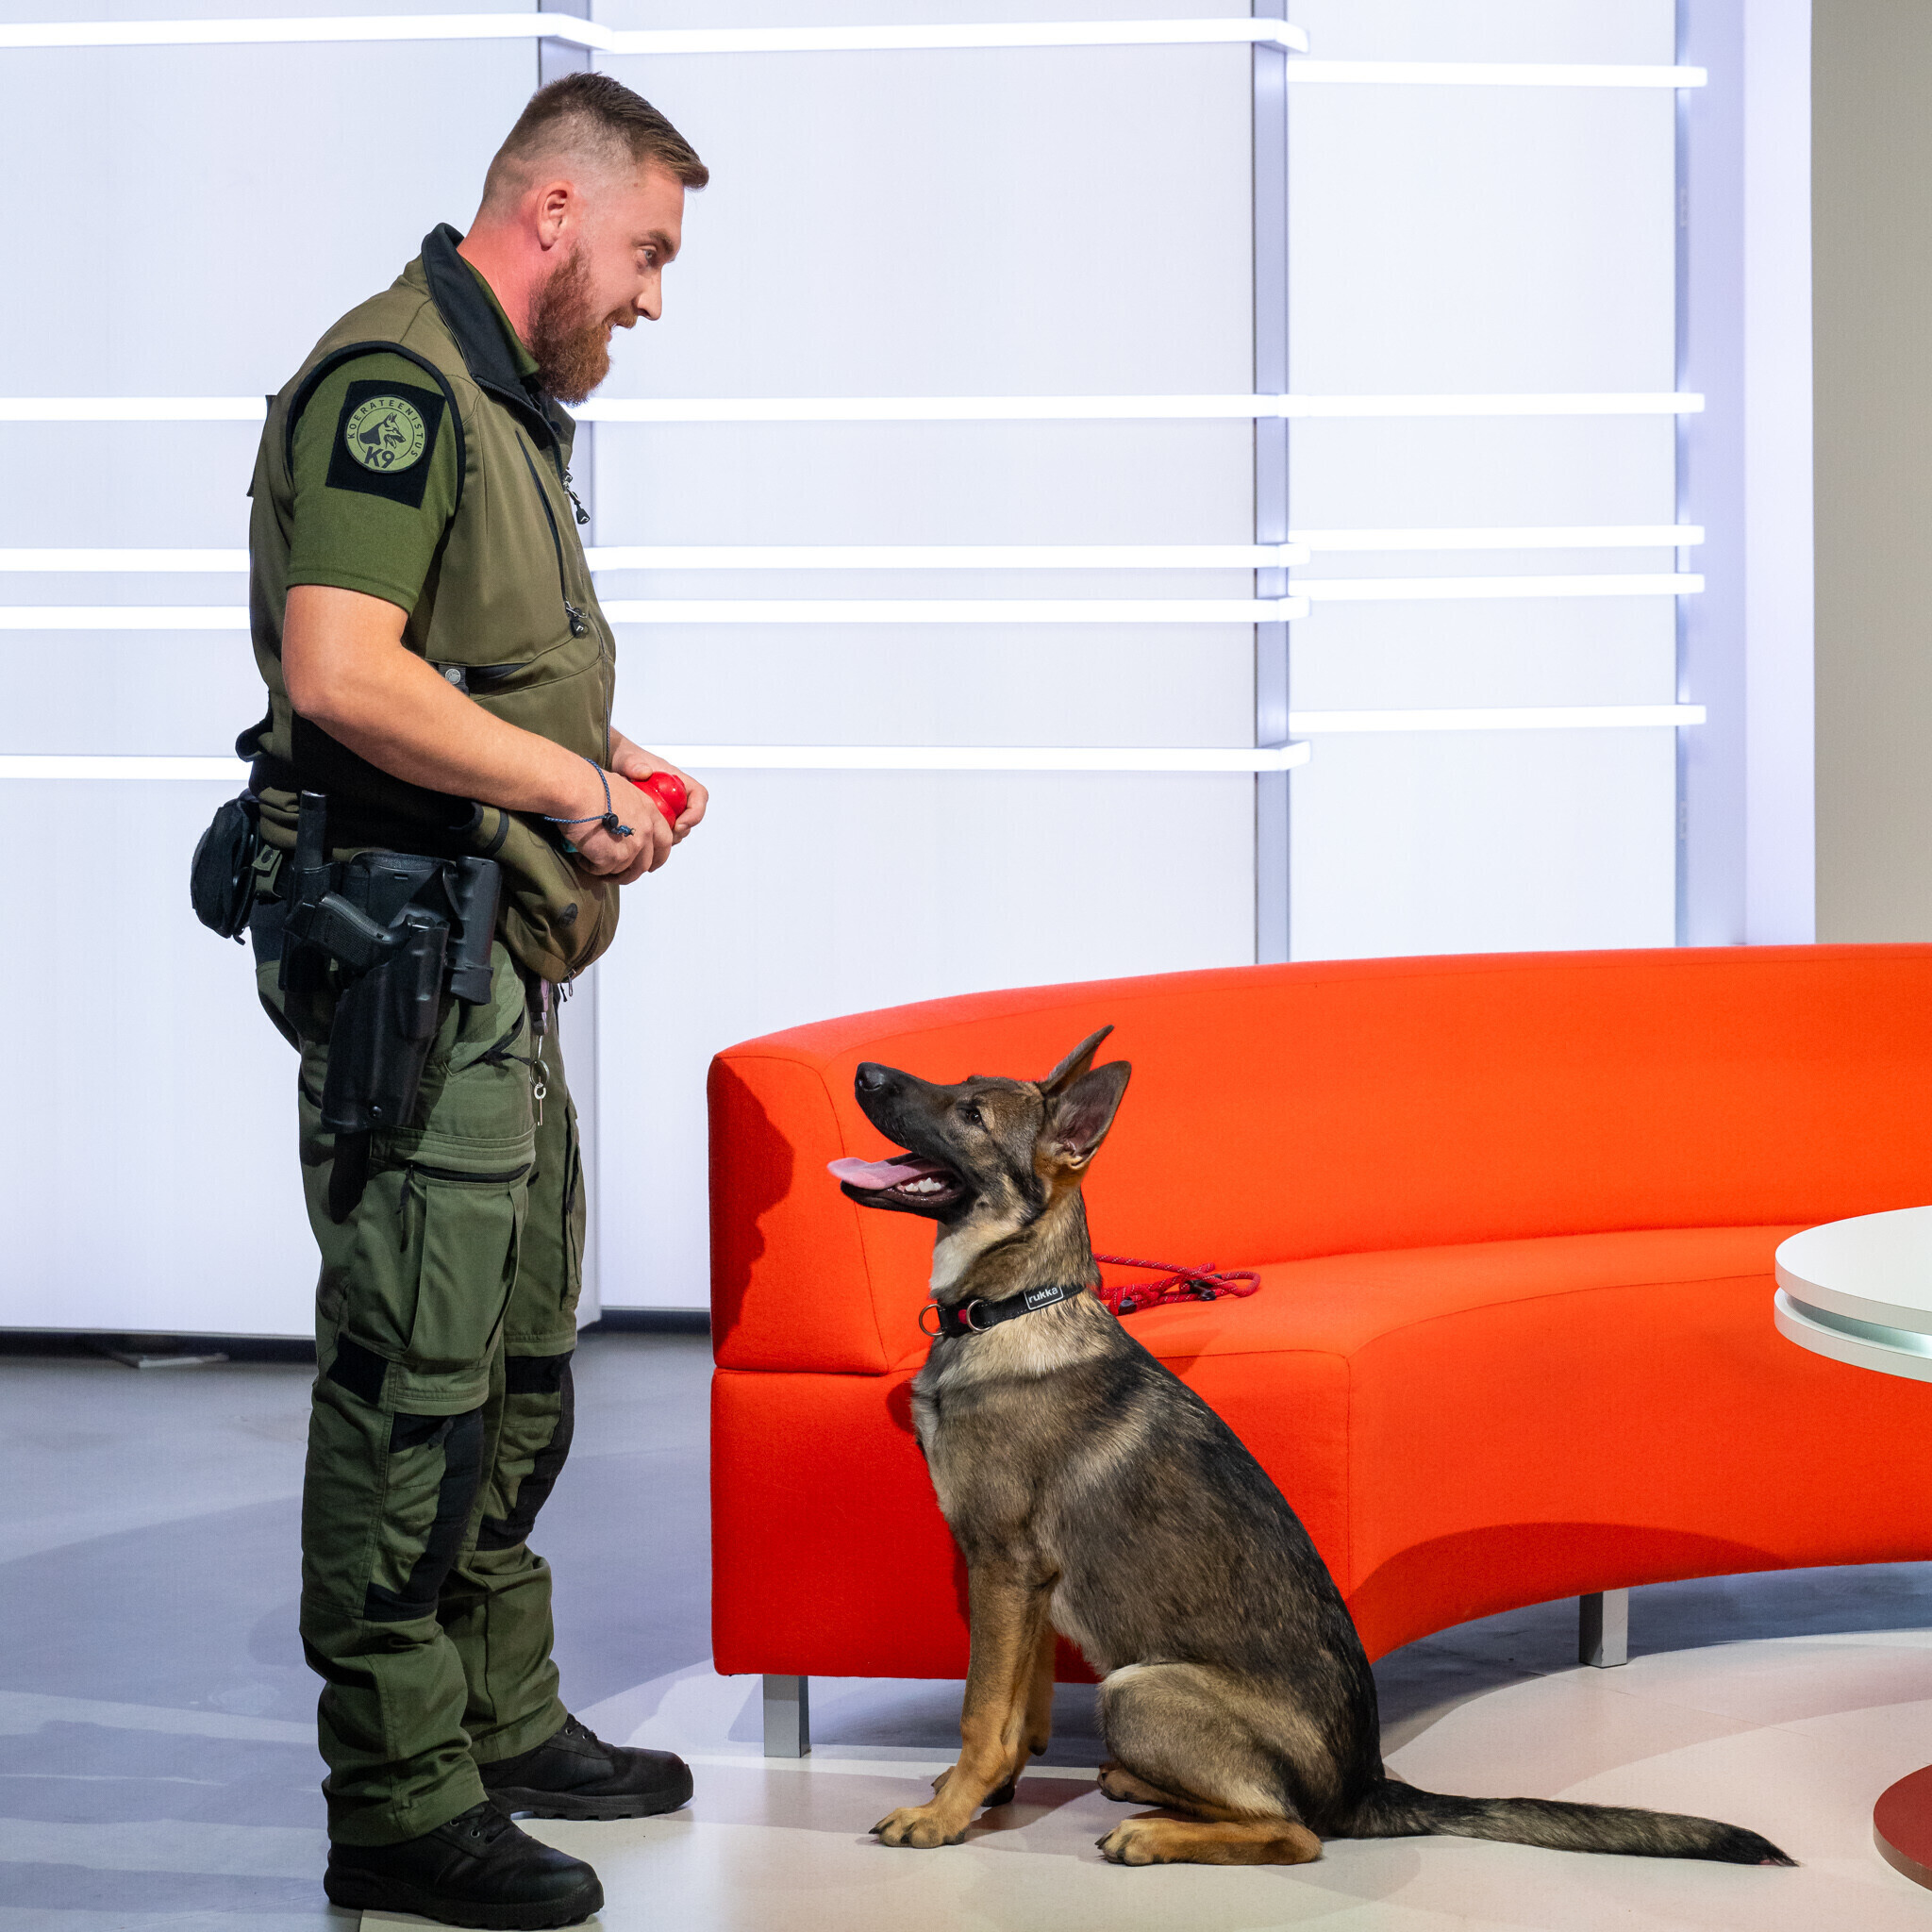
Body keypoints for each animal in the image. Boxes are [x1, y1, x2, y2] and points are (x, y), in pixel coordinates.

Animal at [827, 1027, 1792, 1870]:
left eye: (970, 1113)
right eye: (958, 1085)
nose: (864, 1072)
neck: (1012, 1309)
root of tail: (1368, 1787)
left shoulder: (1003, 1567)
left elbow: (978, 1716)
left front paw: (946, 1816)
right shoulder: (1021, 1583)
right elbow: (1014, 1717)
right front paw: (981, 1798)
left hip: (1137, 1685)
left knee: (1294, 1832)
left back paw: (1156, 1832)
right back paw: (1142, 1789)